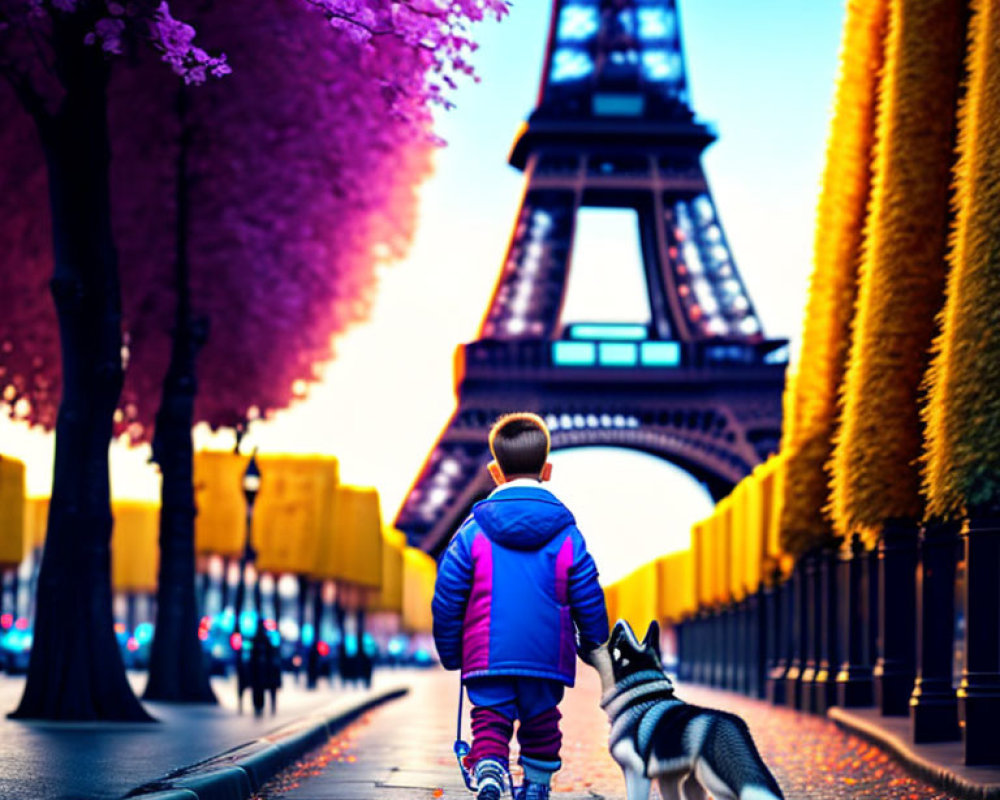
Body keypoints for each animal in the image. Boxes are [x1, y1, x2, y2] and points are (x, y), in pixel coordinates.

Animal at [584, 620, 780, 800]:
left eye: (611, 644)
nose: (584, 638)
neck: (637, 699)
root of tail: (728, 723)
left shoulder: (636, 773)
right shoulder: (668, 778)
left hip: (714, 782)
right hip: (694, 782)